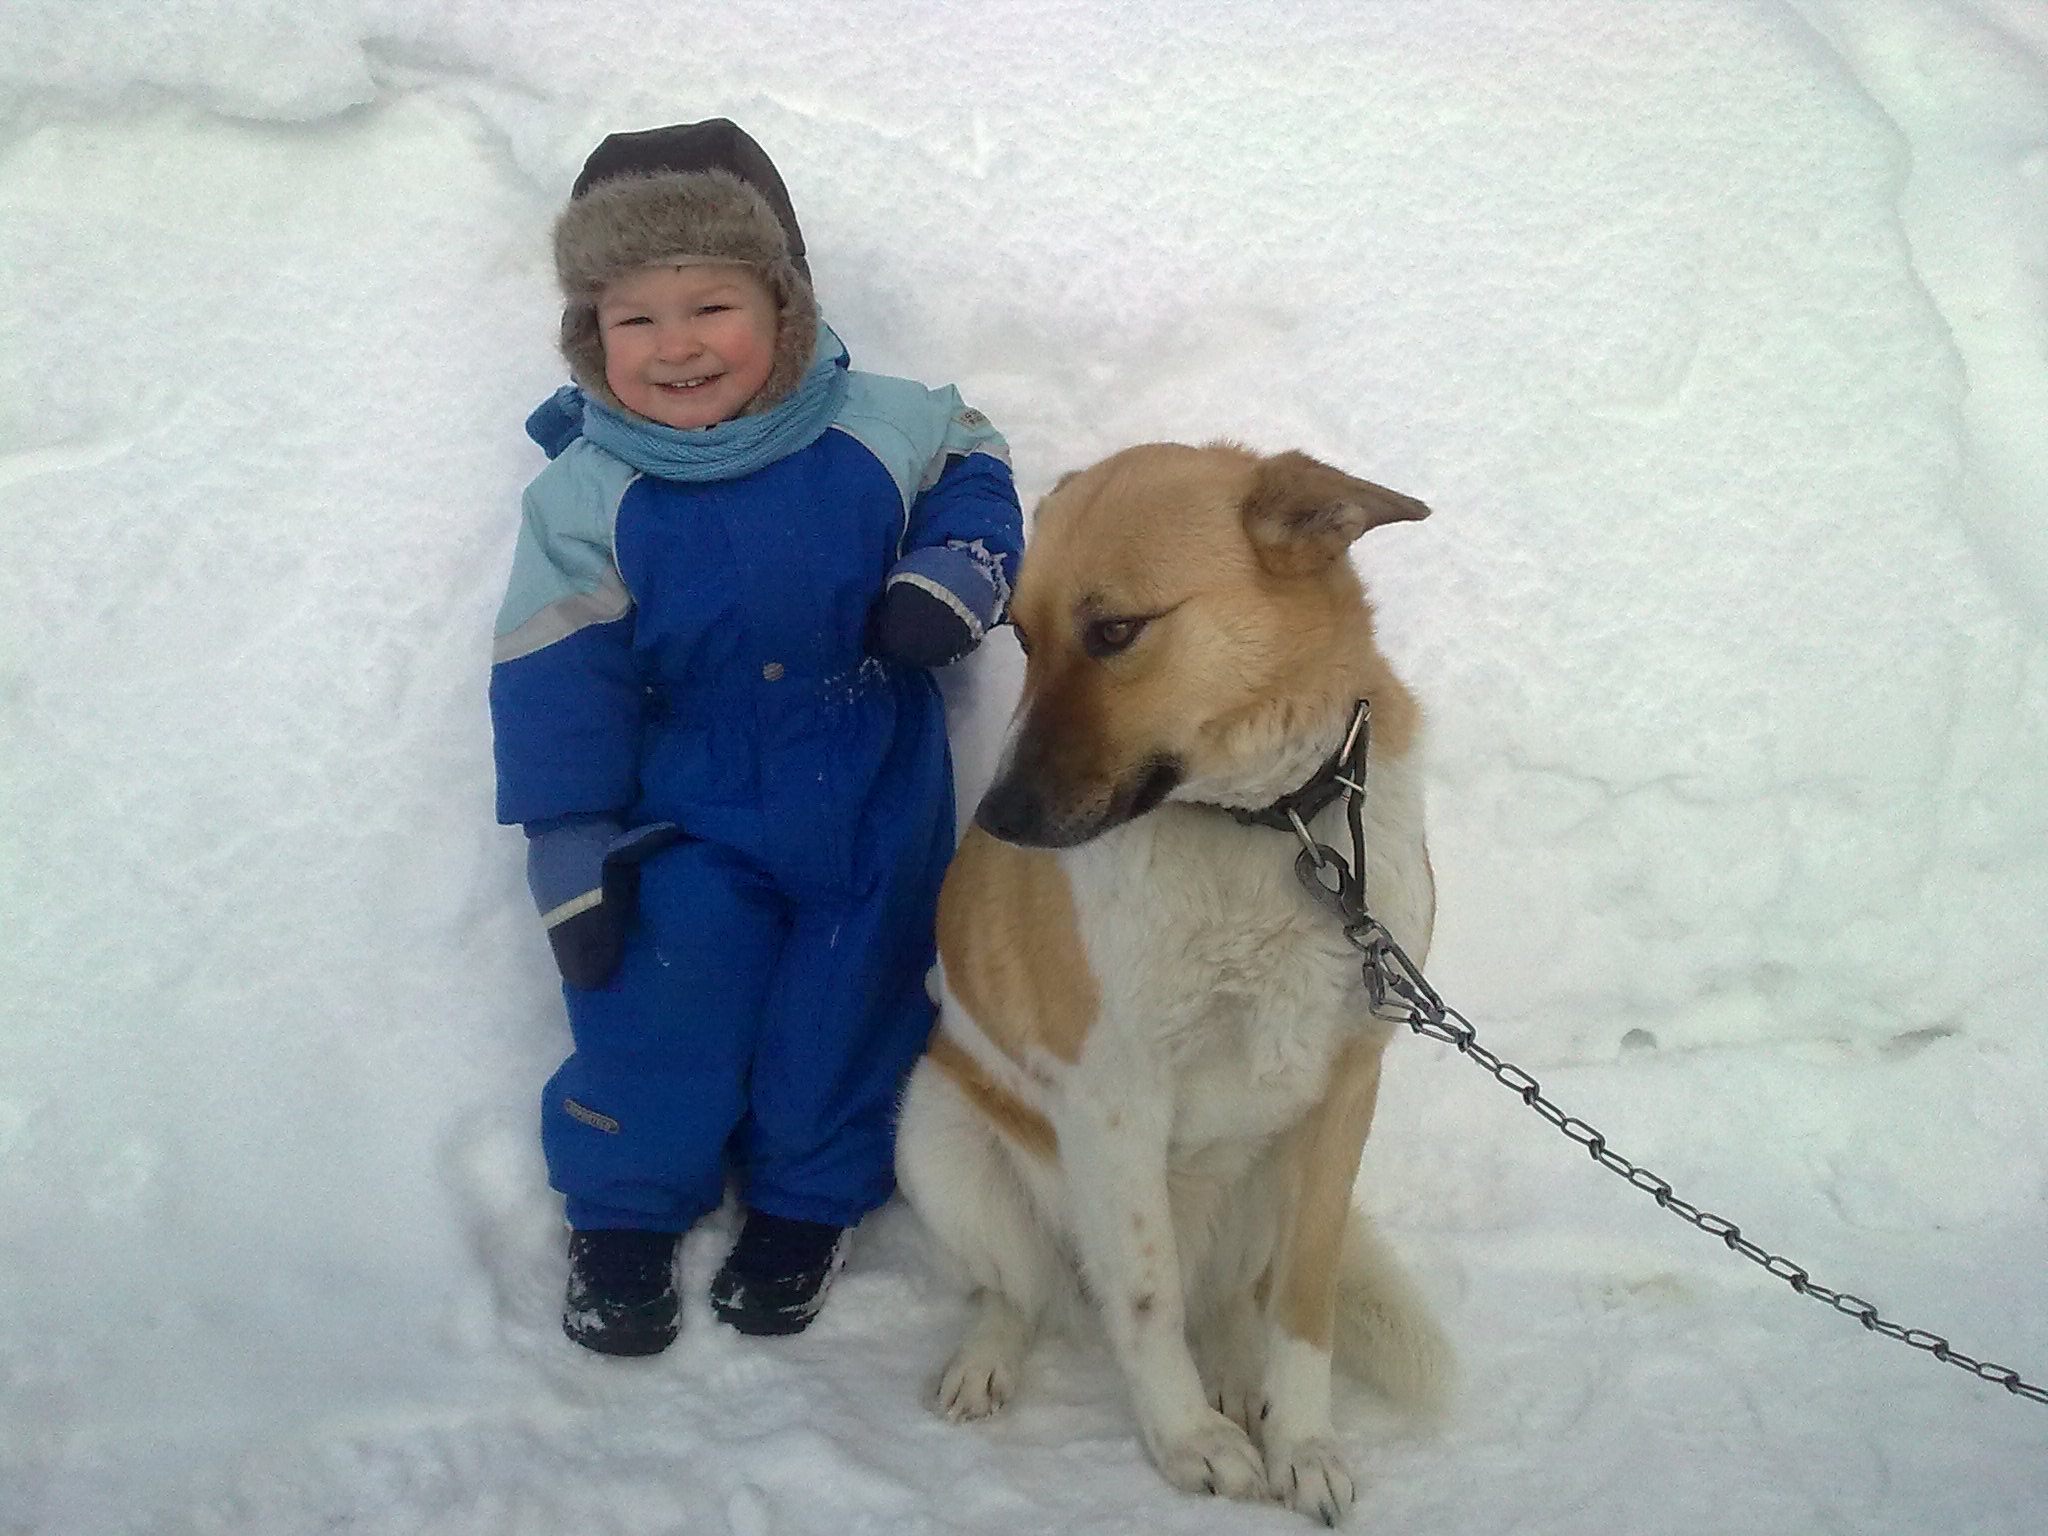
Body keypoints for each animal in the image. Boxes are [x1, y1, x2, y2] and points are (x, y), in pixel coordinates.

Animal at [895, 441, 1451, 1523]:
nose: (998, 822)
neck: (1267, 826)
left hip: (1258, 1183)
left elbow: (1302, 1307)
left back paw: (1234, 1372)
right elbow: (1147, 1303)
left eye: (1114, 631)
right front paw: (1188, 1440)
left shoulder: (1344, 1089)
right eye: (1021, 636)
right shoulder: (1115, 1100)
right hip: (939, 1144)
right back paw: (991, 1360)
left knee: (1228, 1301)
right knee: (1019, 1292)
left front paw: (1302, 1442)